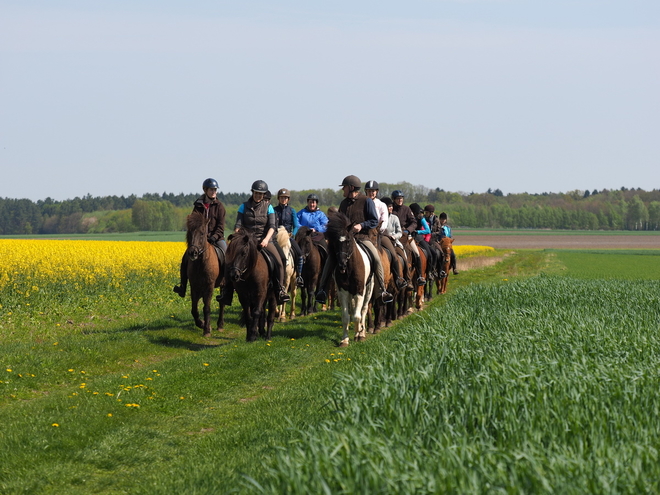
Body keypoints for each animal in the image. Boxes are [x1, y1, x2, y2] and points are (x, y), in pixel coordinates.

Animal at [324, 214, 374, 348]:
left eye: (348, 241)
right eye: (335, 242)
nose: (341, 265)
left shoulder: (360, 291)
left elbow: (357, 316)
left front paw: (359, 333)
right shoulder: (343, 292)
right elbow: (346, 317)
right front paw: (344, 340)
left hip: (369, 288)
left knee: (363, 309)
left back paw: (362, 331)